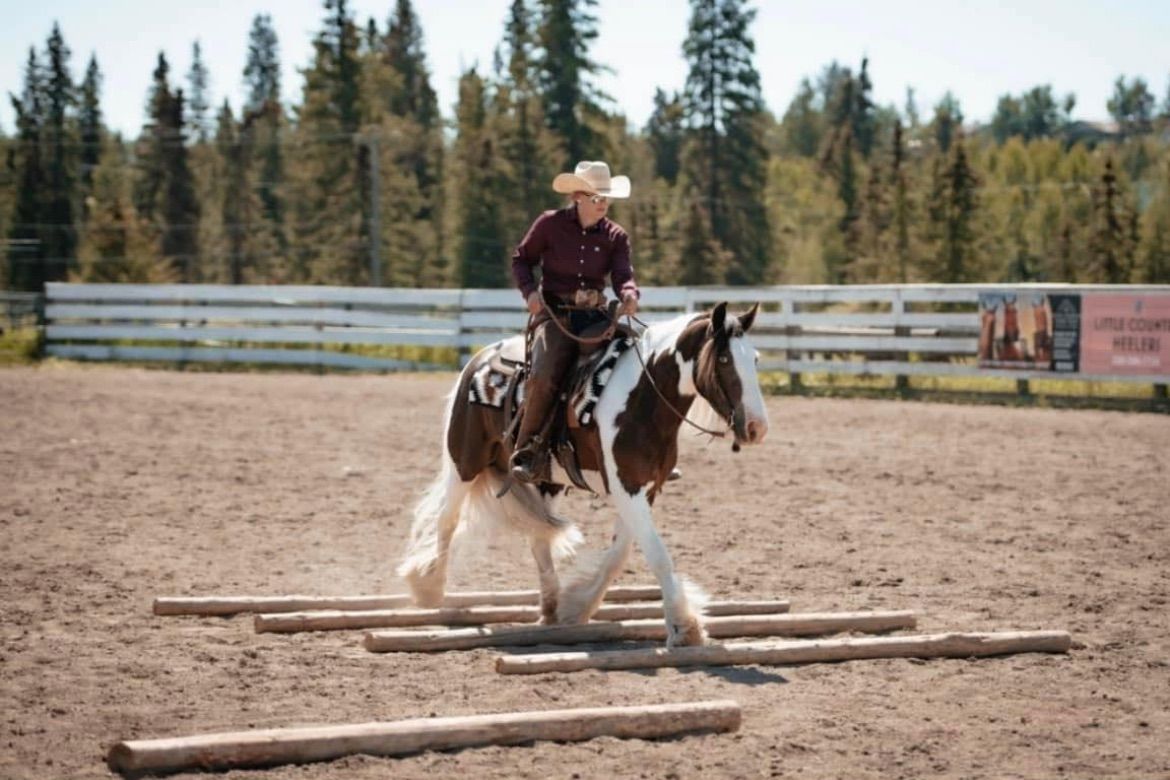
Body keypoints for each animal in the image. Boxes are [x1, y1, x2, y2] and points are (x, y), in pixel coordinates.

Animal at [397, 301, 772, 650]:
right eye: (723, 359)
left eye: (754, 359)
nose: (756, 428)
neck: (643, 398)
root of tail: (481, 358)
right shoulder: (625, 487)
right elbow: (657, 554)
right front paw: (684, 627)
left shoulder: (643, 488)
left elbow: (618, 555)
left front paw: (577, 606)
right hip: (464, 461)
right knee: (447, 520)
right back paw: (429, 587)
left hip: (545, 479)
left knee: (538, 538)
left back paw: (550, 608)